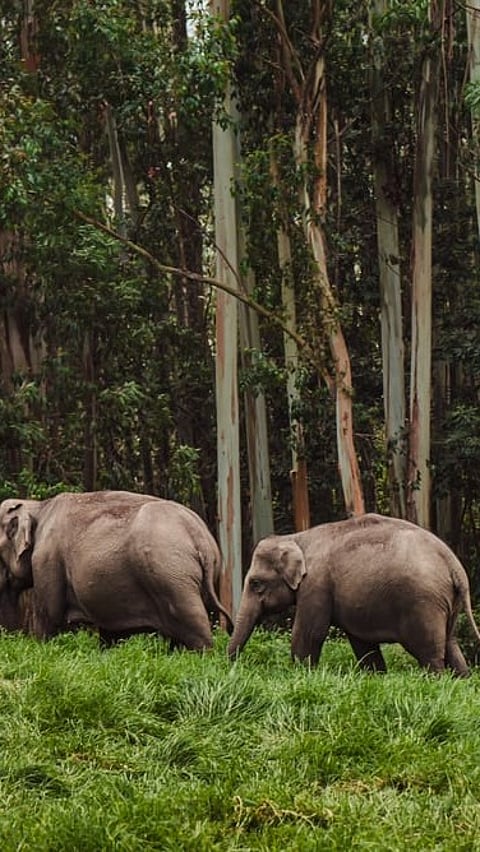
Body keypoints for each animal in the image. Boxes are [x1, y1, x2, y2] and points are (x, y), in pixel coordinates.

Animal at [0, 490, 232, 650]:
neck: (40, 506)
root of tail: (200, 536)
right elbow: (112, 633)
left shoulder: (47, 561)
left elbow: (48, 619)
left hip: (172, 576)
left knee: (194, 625)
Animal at [228, 513, 480, 675]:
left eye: (256, 583)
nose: (232, 665)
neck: (296, 537)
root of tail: (454, 565)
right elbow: (362, 642)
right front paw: (375, 676)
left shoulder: (316, 584)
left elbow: (310, 632)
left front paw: (300, 674)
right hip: (447, 602)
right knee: (450, 644)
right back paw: (461, 680)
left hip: (423, 603)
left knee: (429, 652)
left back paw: (434, 680)